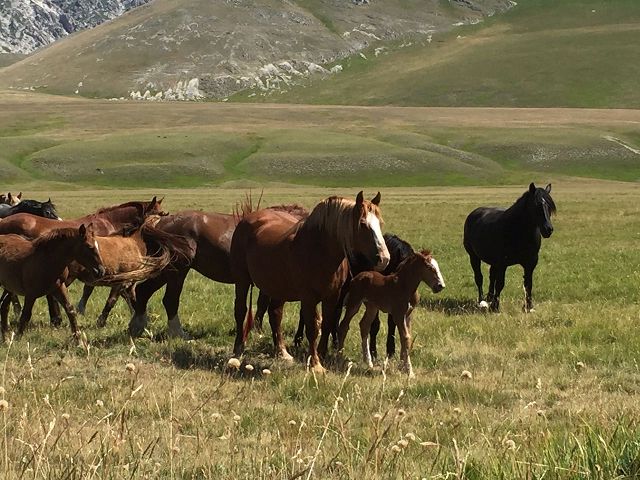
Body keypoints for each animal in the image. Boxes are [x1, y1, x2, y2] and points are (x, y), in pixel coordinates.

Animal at [230, 191, 390, 372]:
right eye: (362, 224)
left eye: (380, 223)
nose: (384, 258)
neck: (319, 251)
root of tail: (248, 218)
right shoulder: (308, 298)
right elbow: (312, 328)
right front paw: (315, 364)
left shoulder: (332, 297)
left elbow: (327, 324)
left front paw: (321, 355)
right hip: (242, 281)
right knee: (240, 310)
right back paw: (238, 349)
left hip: (278, 288)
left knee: (275, 314)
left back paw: (282, 352)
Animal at [462, 182, 556, 314]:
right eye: (537, 205)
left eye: (550, 206)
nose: (548, 229)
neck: (517, 231)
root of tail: (474, 213)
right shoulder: (502, 263)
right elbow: (500, 284)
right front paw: (495, 307)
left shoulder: (530, 263)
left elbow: (528, 284)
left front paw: (529, 307)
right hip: (474, 257)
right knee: (479, 278)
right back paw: (482, 301)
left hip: (493, 261)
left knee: (491, 276)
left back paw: (489, 297)